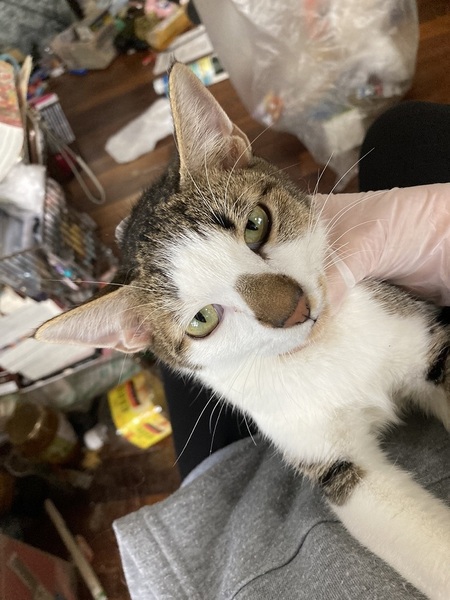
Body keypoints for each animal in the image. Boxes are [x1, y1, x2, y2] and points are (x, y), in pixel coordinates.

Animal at [35, 63, 450, 599]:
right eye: (202, 320)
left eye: (256, 224)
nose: (293, 310)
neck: (318, 350)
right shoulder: (330, 459)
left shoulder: (418, 335)